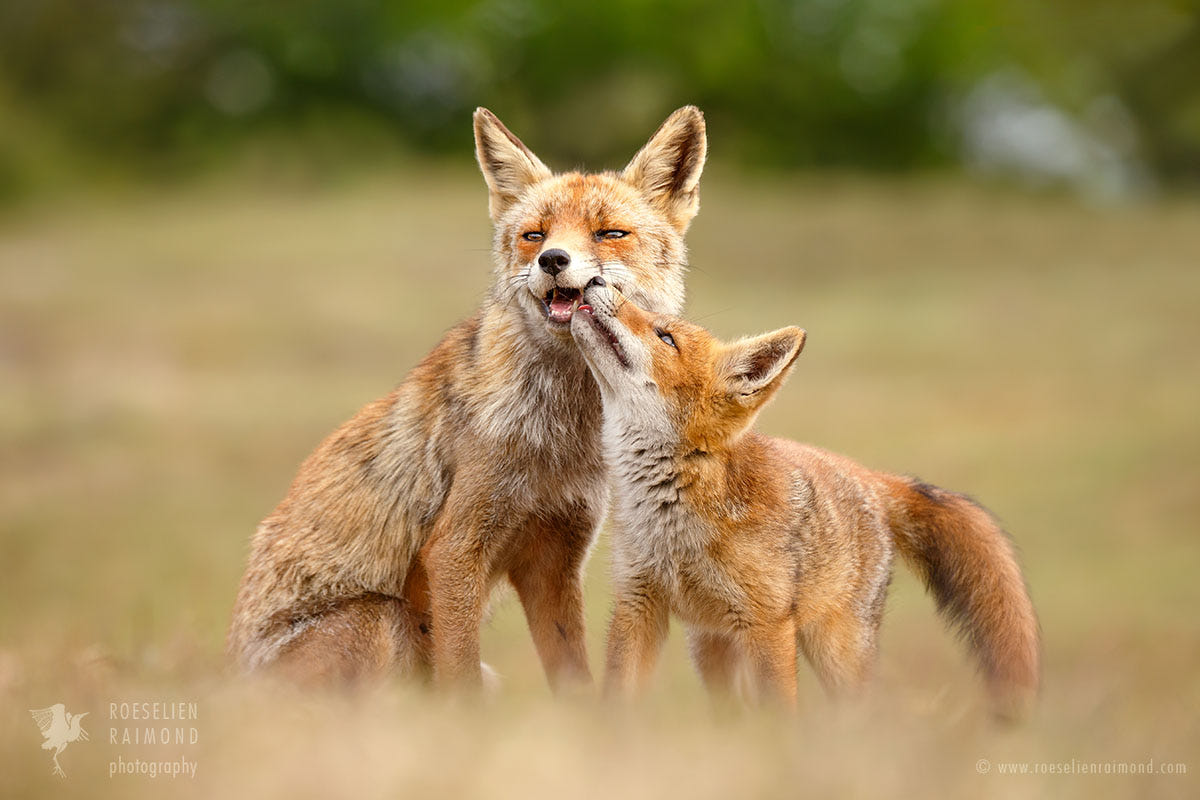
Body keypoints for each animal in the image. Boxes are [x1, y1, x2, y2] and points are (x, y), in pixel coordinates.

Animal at [229, 106, 705, 690]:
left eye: (610, 233)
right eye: (533, 235)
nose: (553, 260)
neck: (558, 437)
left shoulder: (555, 555)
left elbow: (573, 679)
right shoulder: (456, 550)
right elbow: (461, 686)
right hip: (383, 619)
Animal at [571, 283, 1041, 719]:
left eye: (665, 336)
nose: (595, 282)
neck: (675, 515)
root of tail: (871, 476)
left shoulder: (767, 623)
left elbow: (779, 713)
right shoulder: (637, 603)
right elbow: (617, 701)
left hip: (834, 653)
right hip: (711, 646)